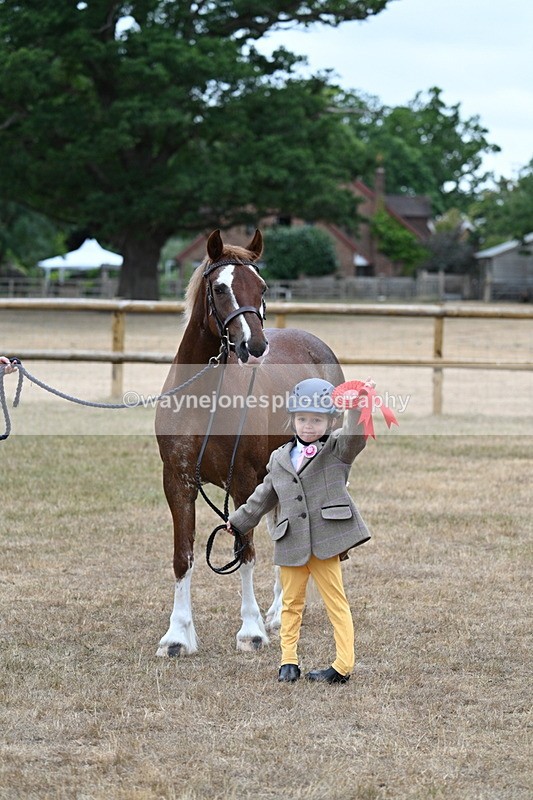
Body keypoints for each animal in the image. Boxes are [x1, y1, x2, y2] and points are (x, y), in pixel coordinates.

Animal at [155, 228, 344, 656]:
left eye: (262, 287)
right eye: (220, 288)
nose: (253, 346)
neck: (204, 400)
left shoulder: (242, 481)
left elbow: (245, 552)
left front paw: (251, 631)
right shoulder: (177, 481)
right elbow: (183, 556)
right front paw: (177, 636)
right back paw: (278, 612)